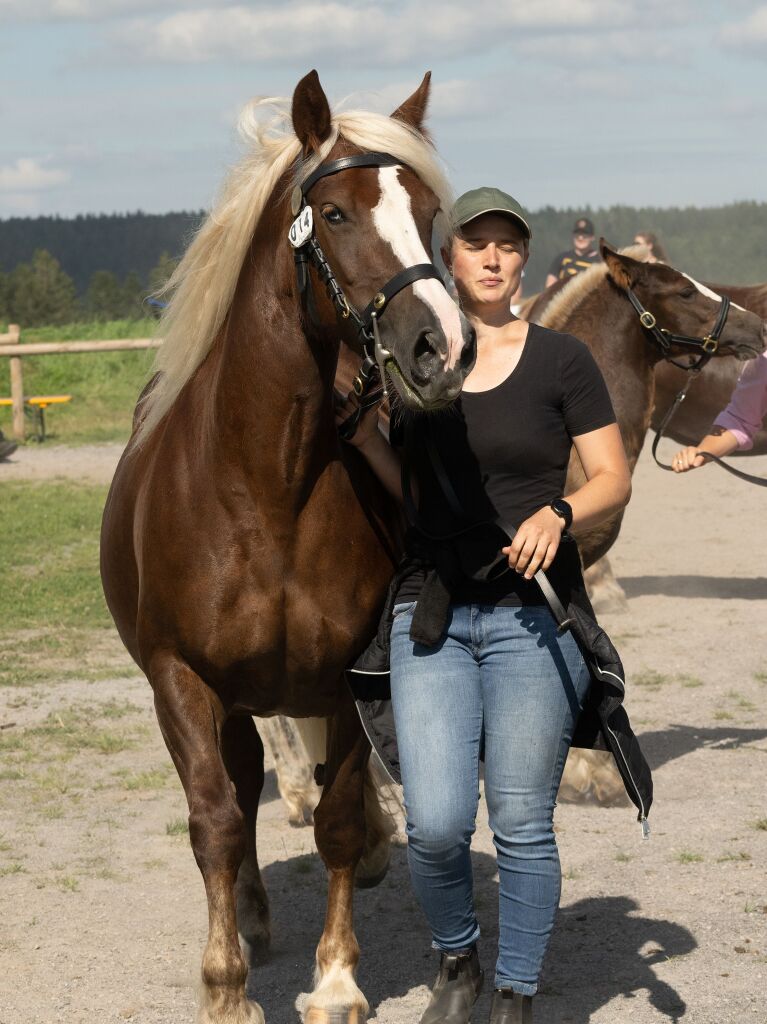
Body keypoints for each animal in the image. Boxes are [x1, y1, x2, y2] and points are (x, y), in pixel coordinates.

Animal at [100, 72, 473, 1024]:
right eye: (333, 213)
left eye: (428, 213)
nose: (442, 349)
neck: (265, 488)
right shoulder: (182, 681)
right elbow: (216, 820)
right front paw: (225, 986)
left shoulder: (346, 673)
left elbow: (337, 819)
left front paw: (336, 981)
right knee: (234, 795)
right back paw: (252, 918)